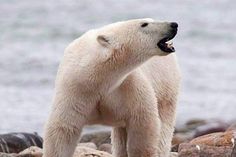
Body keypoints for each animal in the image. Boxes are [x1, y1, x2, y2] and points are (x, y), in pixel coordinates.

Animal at [42, 18, 181, 157]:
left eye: (149, 20)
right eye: (144, 24)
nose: (174, 24)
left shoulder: (129, 86)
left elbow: (142, 123)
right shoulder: (75, 89)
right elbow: (64, 128)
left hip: (166, 87)